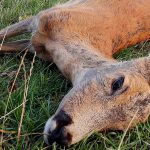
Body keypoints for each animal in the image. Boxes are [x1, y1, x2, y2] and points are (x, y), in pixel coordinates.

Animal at [0, 0, 150, 146]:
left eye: (117, 128)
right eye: (117, 83)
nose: (62, 137)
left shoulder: (34, 44)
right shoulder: (41, 18)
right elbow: (4, 33)